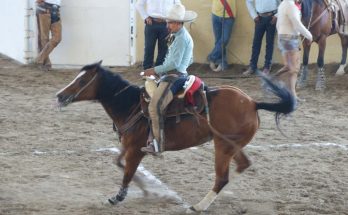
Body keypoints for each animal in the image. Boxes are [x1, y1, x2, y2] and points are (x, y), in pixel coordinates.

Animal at [55, 61, 294, 212]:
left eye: (82, 80)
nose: (59, 95)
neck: (131, 105)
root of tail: (253, 102)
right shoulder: (128, 146)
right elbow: (119, 163)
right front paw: (146, 188)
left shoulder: (136, 150)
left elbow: (127, 173)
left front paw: (118, 197)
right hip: (230, 145)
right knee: (242, 165)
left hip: (222, 147)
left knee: (222, 178)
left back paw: (199, 206)